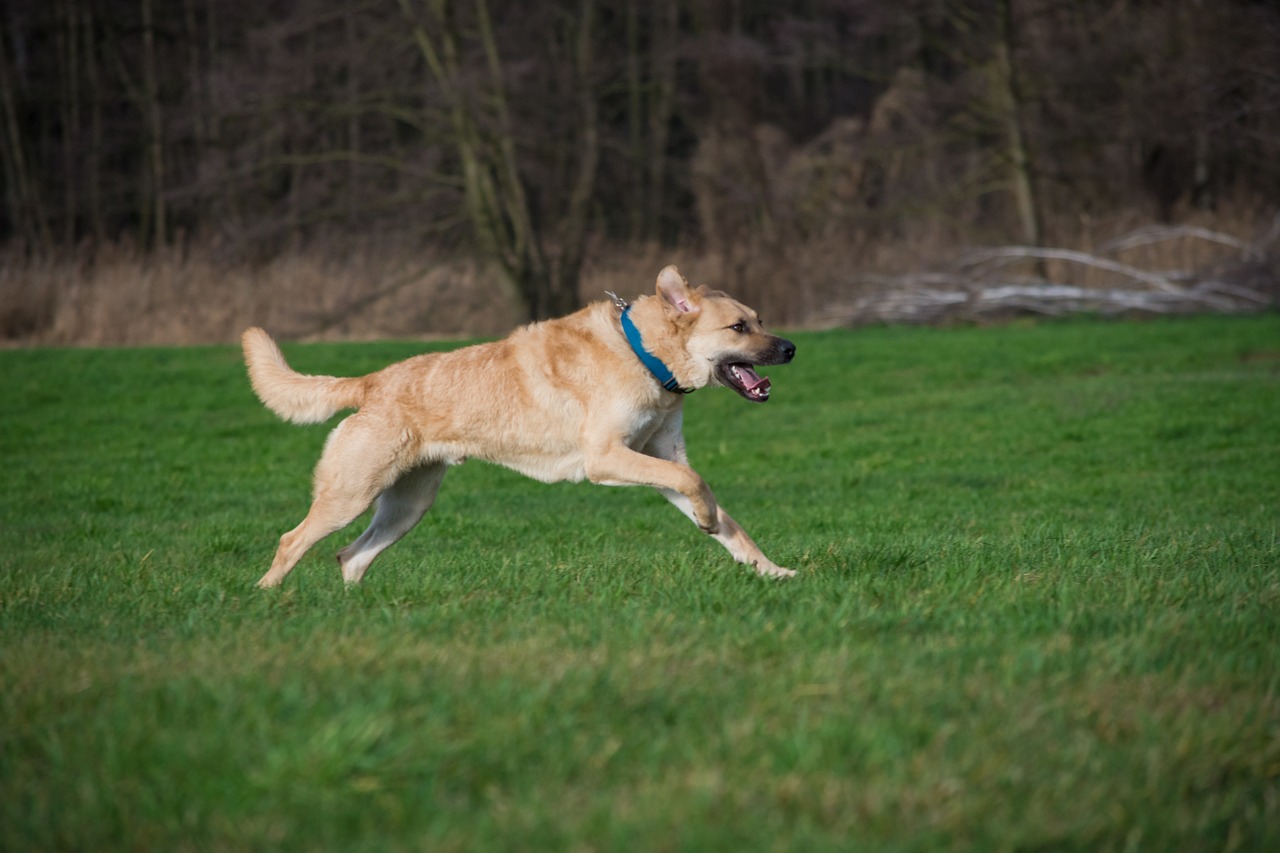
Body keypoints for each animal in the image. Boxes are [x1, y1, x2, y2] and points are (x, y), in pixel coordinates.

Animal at [240, 266, 793, 584]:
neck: (642, 353)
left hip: (408, 505)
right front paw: (706, 521)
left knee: (351, 557)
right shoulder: (607, 458)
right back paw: (270, 603)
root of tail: (371, 381)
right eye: (738, 327)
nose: (790, 348)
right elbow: (695, 482)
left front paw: (771, 570)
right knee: (293, 541)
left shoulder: (654, 458)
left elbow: (723, 515)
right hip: (350, 494)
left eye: (761, 320)